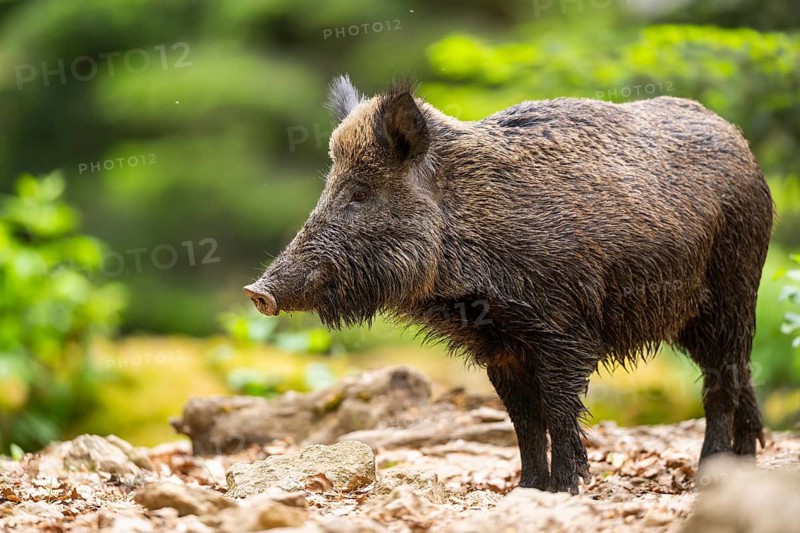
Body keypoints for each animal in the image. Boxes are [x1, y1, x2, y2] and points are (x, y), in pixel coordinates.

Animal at [243, 75, 773, 494]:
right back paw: (747, 462)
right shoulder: (500, 347)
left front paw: (564, 489)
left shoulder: (563, 331)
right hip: (696, 316)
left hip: (734, 287)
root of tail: (743, 146)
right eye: (328, 188)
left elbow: (557, 411)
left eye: (359, 193)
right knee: (740, 374)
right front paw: (527, 489)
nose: (257, 292)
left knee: (722, 381)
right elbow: (523, 421)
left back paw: (710, 475)